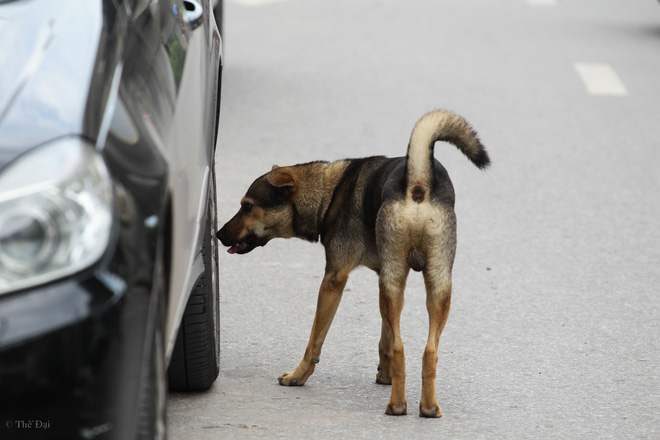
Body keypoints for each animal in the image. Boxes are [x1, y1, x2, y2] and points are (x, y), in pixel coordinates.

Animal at [217, 109, 490, 416]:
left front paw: (298, 375)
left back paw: (397, 406)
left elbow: (315, 339)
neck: (328, 193)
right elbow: (386, 336)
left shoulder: (334, 279)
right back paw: (428, 407)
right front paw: (386, 374)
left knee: (402, 348)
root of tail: (418, 182)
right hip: (431, 283)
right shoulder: (385, 278)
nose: (218, 234)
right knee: (426, 350)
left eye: (247, 206)